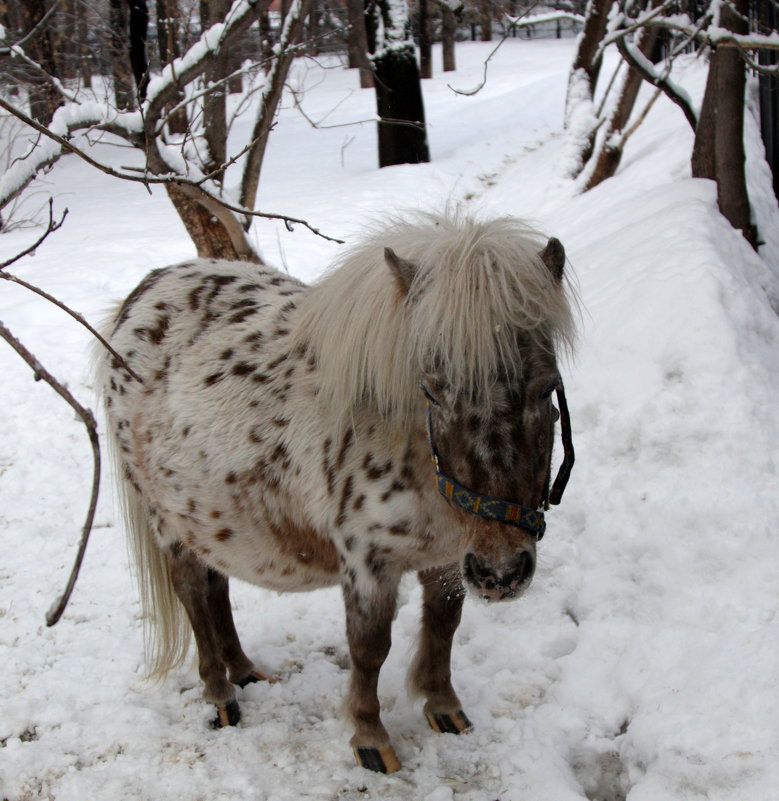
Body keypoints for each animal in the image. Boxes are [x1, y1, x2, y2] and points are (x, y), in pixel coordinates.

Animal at [97, 209, 576, 772]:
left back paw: (244, 671)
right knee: (194, 592)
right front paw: (370, 738)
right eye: (432, 390)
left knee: (217, 589)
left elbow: (443, 626)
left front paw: (444, 708)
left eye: (547, 389)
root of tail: (144, 293)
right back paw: (219, 695)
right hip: (167, 520)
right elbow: (369, 649)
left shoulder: (447, 560)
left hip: (208, 515)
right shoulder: (368, 565)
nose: (502, 573)